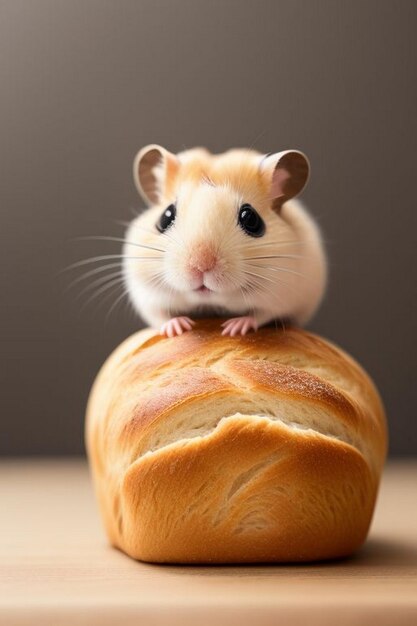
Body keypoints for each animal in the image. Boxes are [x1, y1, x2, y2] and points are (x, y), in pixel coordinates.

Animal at [122, 144, 326, 336]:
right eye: (165, 217)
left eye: (251, 219)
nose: (201, 265)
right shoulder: (146, 295)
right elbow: (159, 317)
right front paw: (181, 328)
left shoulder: (280, 295)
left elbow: (260, 315)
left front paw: (233, 329)